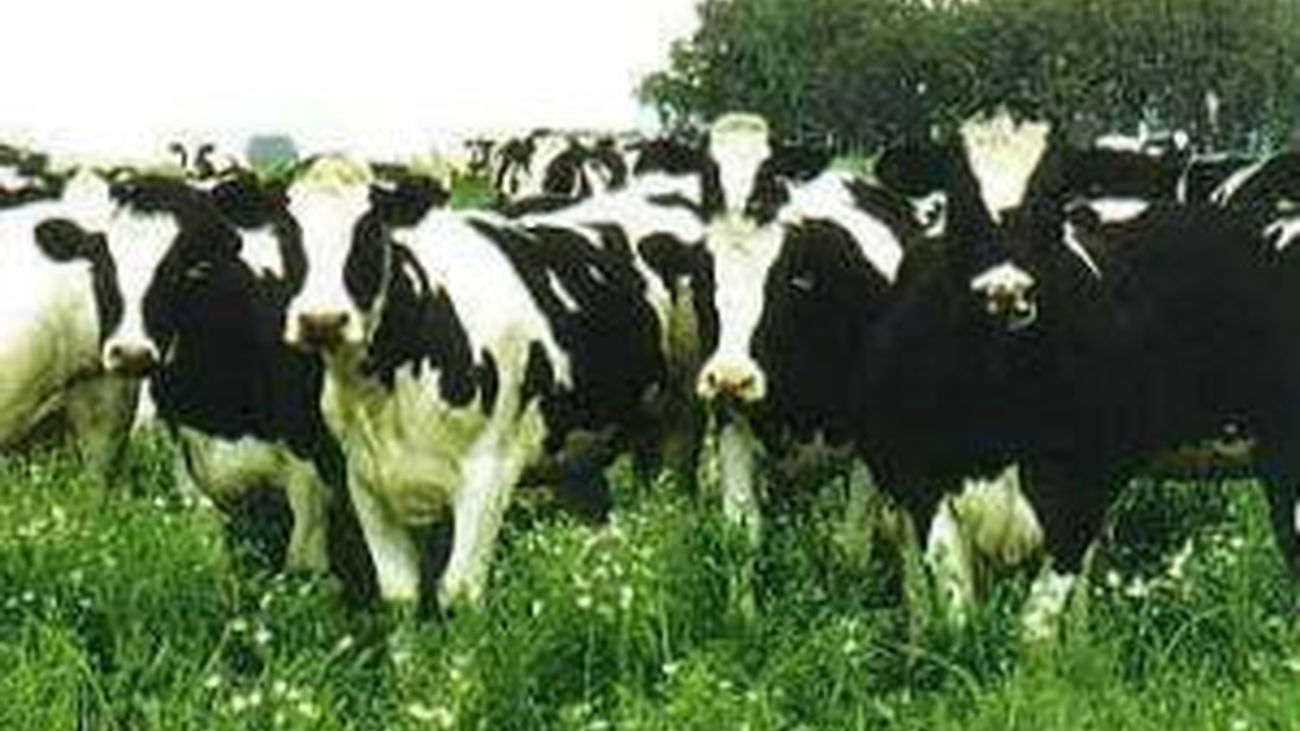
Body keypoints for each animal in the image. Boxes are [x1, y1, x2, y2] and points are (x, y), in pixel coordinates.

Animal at [281, 155, 664, 607]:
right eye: (286, 233)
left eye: (369, 230)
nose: (320, 321)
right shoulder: (364, 477)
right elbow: (399, 590)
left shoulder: (490, 469)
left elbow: (459, 588)